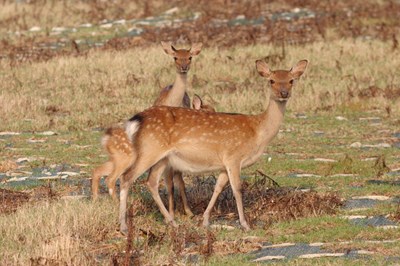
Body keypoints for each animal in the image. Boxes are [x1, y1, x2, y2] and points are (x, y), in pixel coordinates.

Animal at [91, 40, 203, 218]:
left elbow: (178, 180)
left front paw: (187, 211)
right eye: (175, 57)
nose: (184, 67)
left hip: (119, 159)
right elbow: (170, 181)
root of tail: (105, 139)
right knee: (111, 178)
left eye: (190, 57)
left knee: (99, 171)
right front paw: (174, 211)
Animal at [119, 59, 310, 234]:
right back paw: (123, 226)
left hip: (163, 158)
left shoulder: (224, 164)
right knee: (127, 177)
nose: (284, 93)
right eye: (271, 80)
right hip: (150, 150)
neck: (258, 132)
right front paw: (245, 225)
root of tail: (137, 120)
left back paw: (172, 222)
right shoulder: (234, 157)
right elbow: (237, 189)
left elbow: (218, 188)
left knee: (151, 181)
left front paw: (205, 221)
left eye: (291, 80)